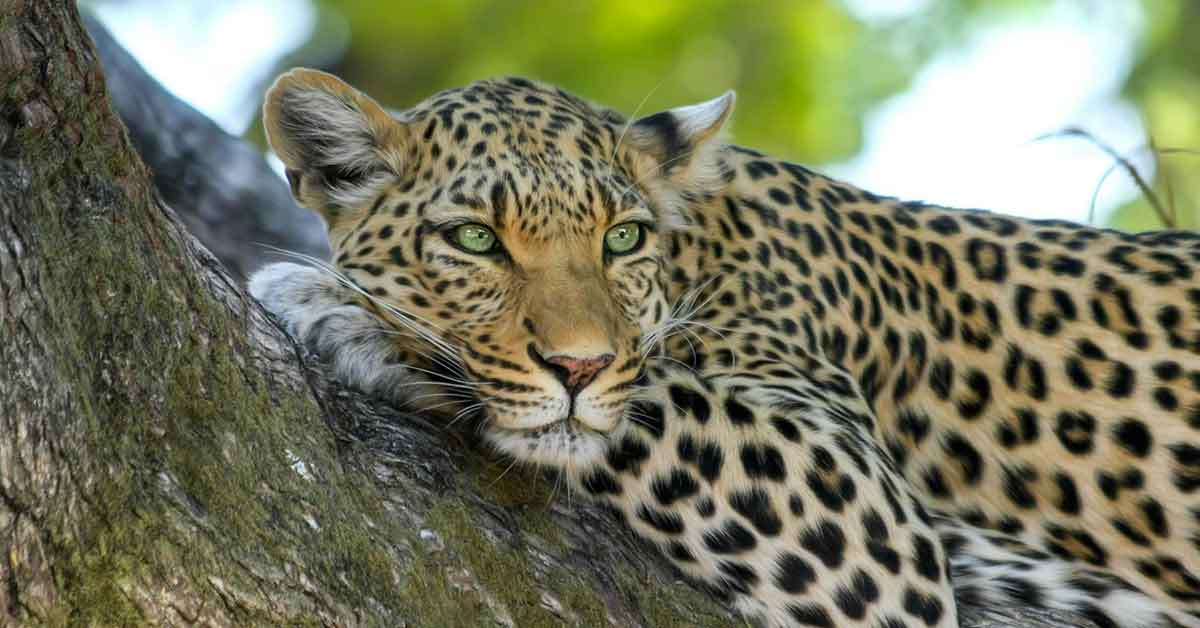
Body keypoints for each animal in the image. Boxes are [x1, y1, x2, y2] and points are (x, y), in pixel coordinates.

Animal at [246, 68, 1200, 628]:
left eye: (622, 239)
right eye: (476, 240)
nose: (579, 367)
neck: (701, 250)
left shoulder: (868, 516)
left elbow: (654, 396)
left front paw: (345, 311)